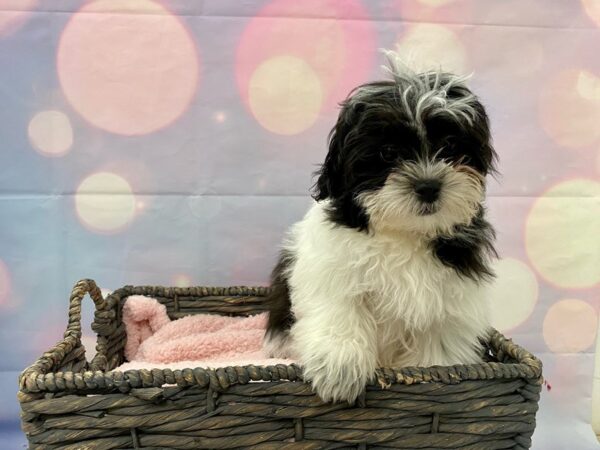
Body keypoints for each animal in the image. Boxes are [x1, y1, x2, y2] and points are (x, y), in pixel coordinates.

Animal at [262, 52, 496, 404]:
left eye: (451, 147)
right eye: (387, 153)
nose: (429, 186)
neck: (403, 233)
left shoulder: (450, 301)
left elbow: (437, 350)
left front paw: (436, 378)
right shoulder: (332, 271)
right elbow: (340, 311)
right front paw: (339, 369)